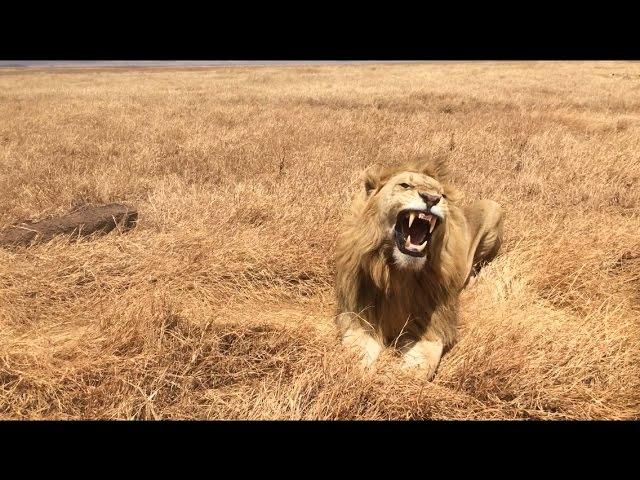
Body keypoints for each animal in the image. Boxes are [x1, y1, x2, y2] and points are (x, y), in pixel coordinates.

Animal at [336, 157, 504, 378]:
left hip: (493, 208)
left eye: (442, 195)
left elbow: (417, 370)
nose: (432, 198)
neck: (398, 274)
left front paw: (391, 378)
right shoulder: (359, 318)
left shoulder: (432, 329)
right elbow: (356, 362)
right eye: (405, 185)